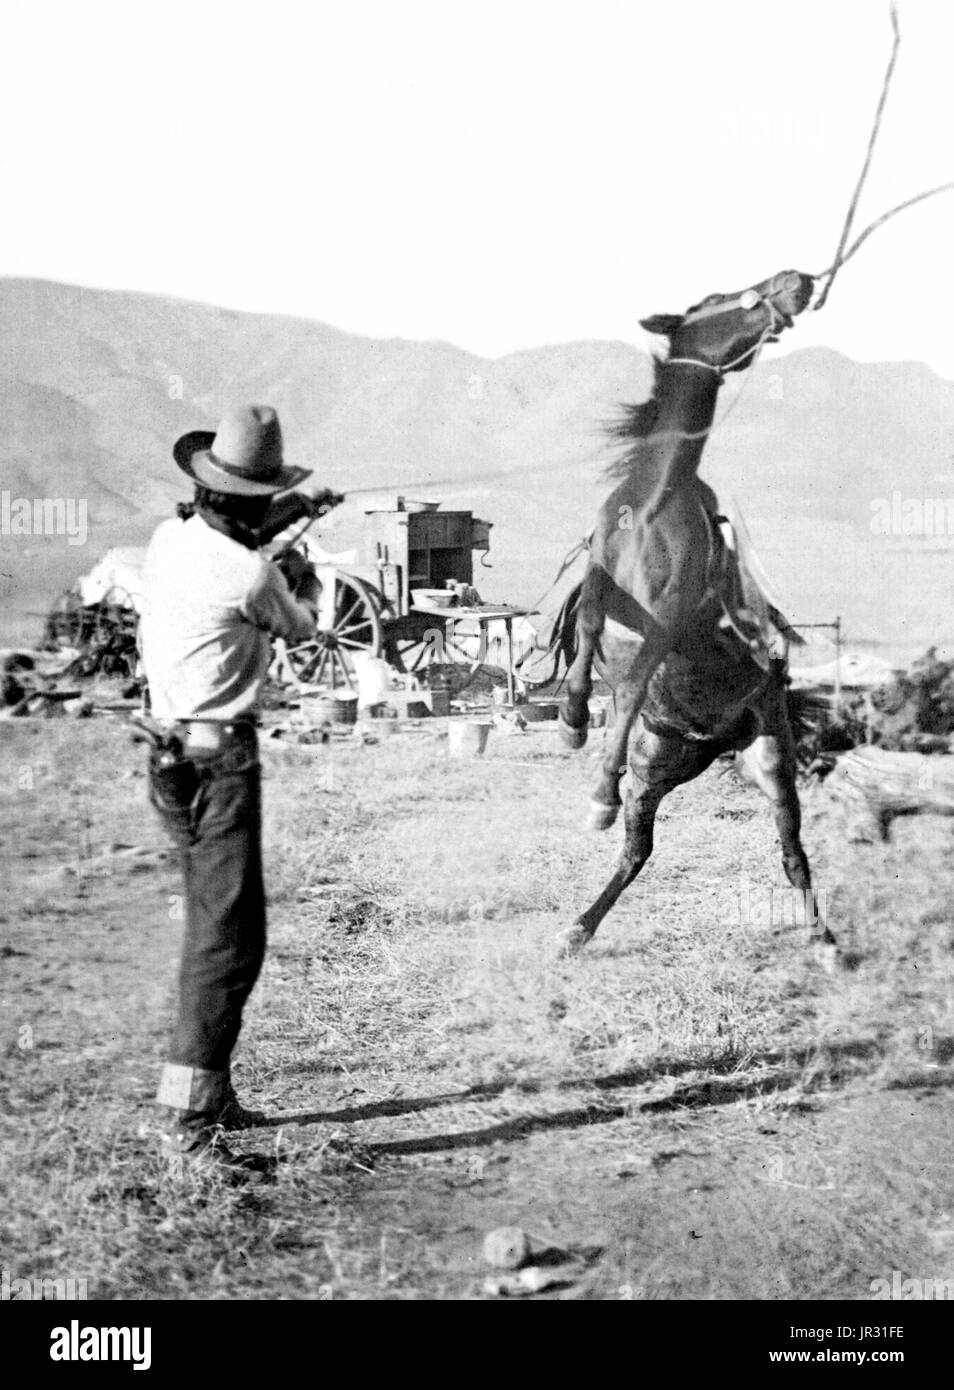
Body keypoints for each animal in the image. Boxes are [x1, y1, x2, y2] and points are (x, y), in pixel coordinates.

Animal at [556, 272, 834, 967]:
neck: (655, 502)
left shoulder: (675, 618)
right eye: (715, 302)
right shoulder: (605, 579)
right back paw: (576, 927)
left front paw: (595, 790)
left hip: (770, 760)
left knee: (793, 852)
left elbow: (631, 681)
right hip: (653, 771)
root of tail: (716, 746)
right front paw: (572, 720)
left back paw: (824, 939)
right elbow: (591, 619)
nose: (795, 283)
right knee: (637, 852)